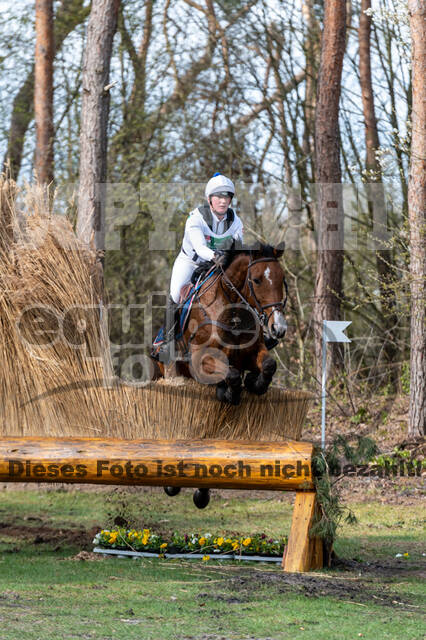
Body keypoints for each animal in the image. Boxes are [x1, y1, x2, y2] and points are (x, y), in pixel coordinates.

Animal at [151, 241, 288, 404]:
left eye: (282, 279)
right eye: (256, 280)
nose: (278, 327)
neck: (234, 316)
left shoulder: (253, 352)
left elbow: (269, 365)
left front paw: (255, 383)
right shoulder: (199, 359)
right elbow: (232, 374)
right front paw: (229, 393)